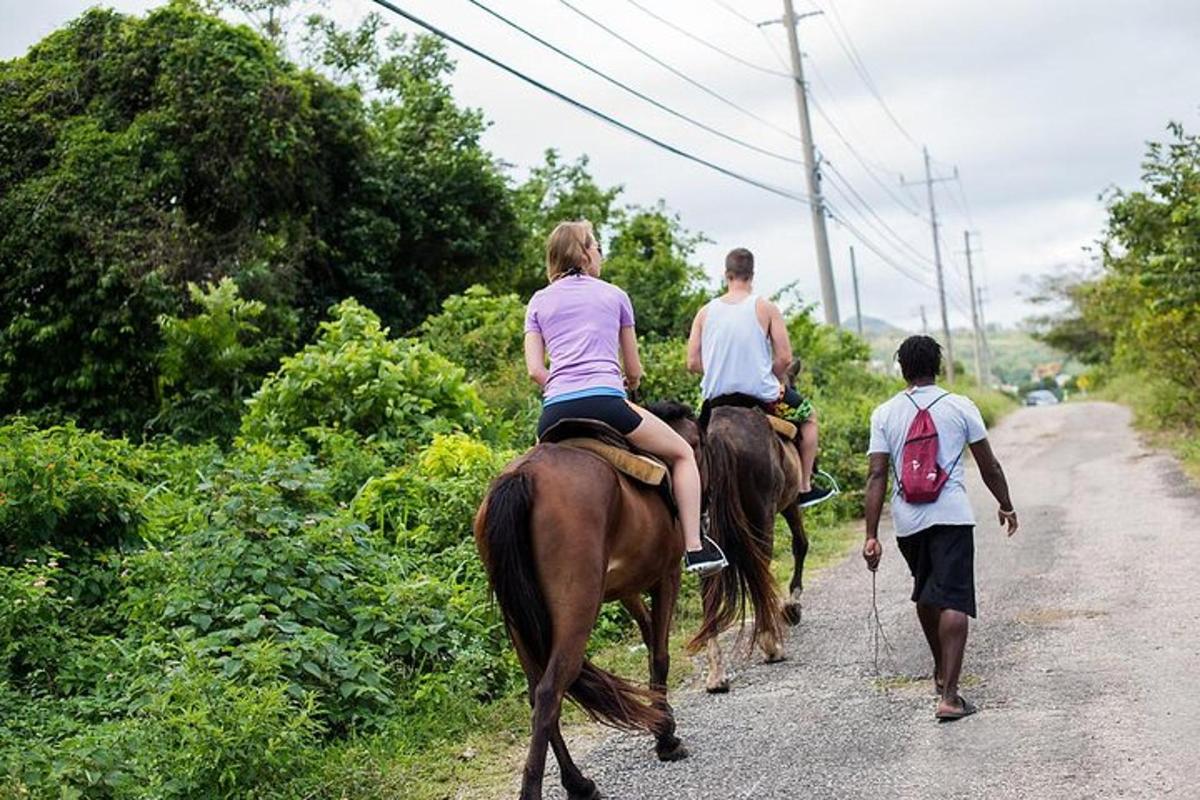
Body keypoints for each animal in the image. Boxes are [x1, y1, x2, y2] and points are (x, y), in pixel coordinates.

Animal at [472, 431, 691, 800]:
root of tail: (523, 476)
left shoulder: (626, 586)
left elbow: (649, 635)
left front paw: (664, 722)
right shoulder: (666, 575)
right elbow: (660, 654)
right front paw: (665, 736)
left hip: (520, 621)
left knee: (536, 694)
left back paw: (579, 783)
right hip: (576, 606)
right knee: (550, 692)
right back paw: (549, 788)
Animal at [657, 400, 816, 695]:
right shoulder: (789, 504)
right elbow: (800, 545)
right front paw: (791, 606)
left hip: (701, 525)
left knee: (708, 581)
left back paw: (716, 672)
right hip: (762, 518)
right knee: (761, 569)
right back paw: (770, 643)